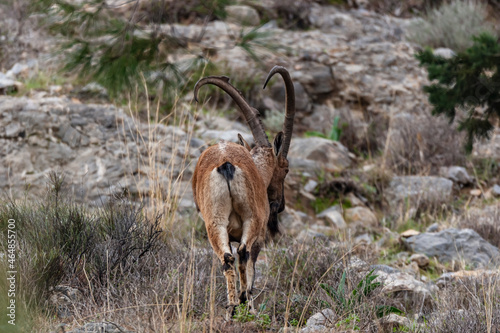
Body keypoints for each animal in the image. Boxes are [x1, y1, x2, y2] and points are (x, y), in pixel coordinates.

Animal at [190, 65, 292, 316]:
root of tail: (226, 165)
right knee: (244, 253)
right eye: (285, 169)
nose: (280, 204)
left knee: (227, 258)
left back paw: (232, 305)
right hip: (252, 218)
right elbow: (253, 262)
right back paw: (245, 301)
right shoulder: (260, 231)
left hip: (214, 222)